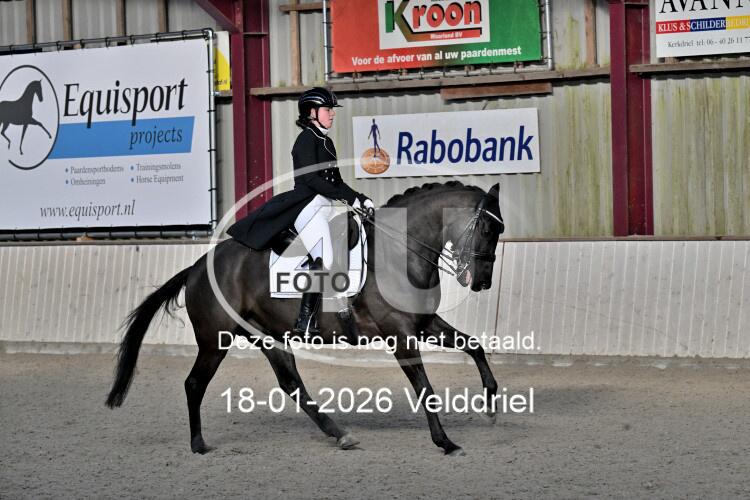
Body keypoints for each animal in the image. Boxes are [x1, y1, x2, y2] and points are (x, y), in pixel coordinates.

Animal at [106, 181, 504, 456]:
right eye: (487, 229)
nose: (482, 282)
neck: (400, 252)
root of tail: (198, 267)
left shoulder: (423, 324)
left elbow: (474, 346)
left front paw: (491, 407)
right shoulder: (400, 334)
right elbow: (425, 388)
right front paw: (446, 442)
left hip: (268, 336)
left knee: (291, 384)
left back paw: (340, 434)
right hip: (214, 340)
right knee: (194, 384)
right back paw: (199, 444)